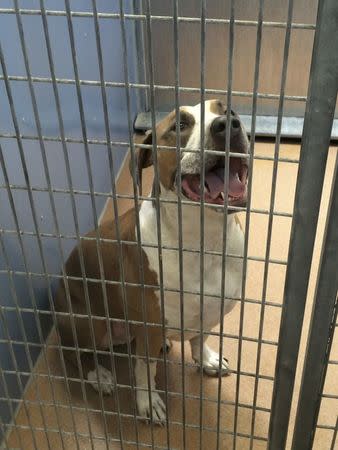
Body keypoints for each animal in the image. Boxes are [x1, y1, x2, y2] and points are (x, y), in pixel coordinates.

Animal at [54, 99, 248, 426]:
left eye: (227, 109)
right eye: (179, 125)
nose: (228, 124)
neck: (204, 240)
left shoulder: (209, 311)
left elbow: (198, 339)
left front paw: (206, 358)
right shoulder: (150, 326)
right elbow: (144, 370)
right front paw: (148, 402)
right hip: (85, 321)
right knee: (74, 355)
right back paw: (99, 375)